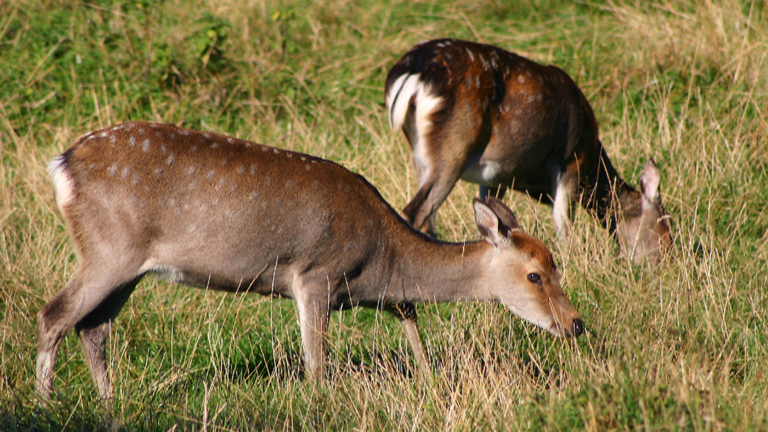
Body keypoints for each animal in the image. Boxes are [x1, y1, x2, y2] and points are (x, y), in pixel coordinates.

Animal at [36, 123, 584, 404]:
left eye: (556, 265)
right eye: (535, 273)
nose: (576, 323)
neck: (383, 257)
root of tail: (62, 167)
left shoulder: (379, 295)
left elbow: (410, 315)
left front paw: (430, 379)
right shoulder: (315, 274)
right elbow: (317, 365)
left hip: (130, 266)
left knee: (93, 326)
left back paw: (110, 405)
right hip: (110, 247)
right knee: (54, 315)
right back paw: (43, 405)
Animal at [384, 38, 672, 264]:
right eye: (666, 229)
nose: (667, 263)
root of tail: (411, 72)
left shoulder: (495, 177)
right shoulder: (571, 163)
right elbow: (563, 226)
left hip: (420, 154)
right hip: (454, 145)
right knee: (416, 211)